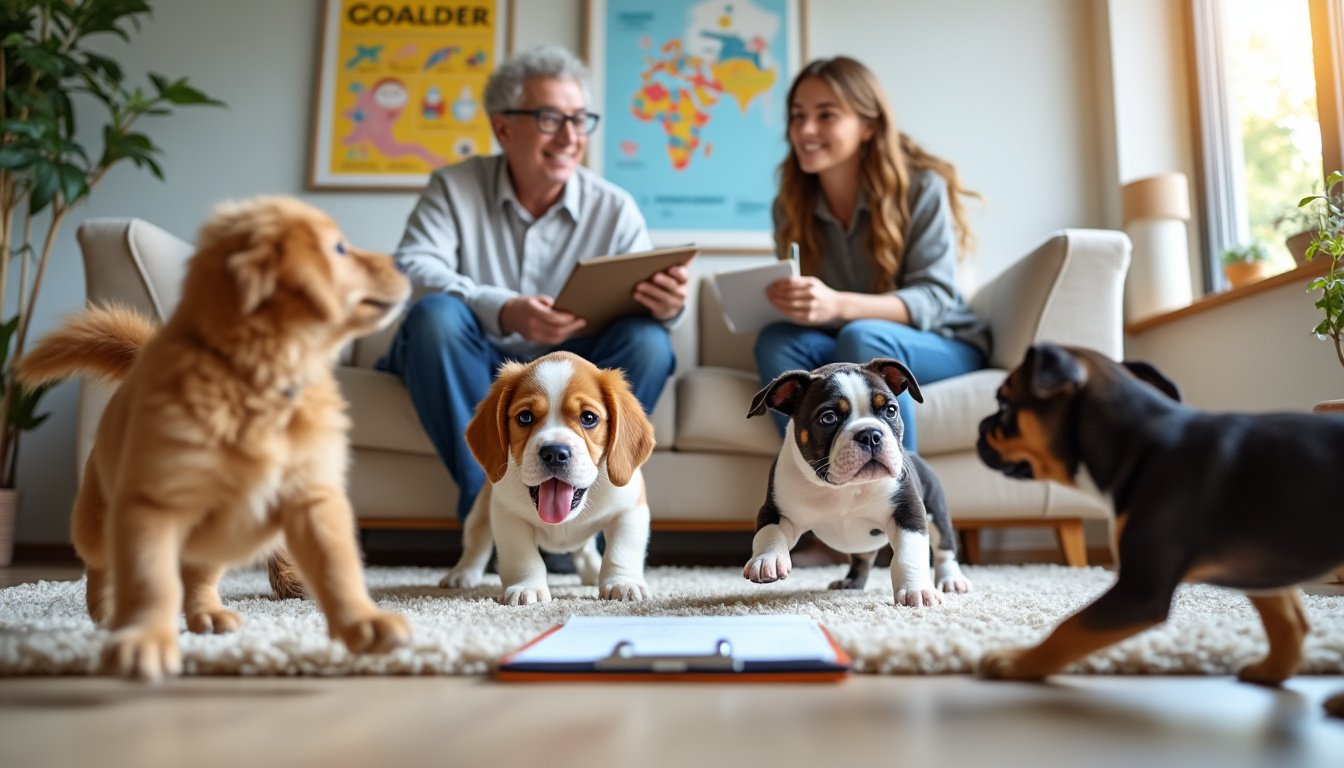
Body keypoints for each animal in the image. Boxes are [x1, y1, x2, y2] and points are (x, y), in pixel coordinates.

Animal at [15, 195, 411, 683]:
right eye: (337, 249)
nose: (401, 263)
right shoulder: (152, 506)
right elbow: (148, 578)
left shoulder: (307, 497)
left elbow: (331, 561)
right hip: (95, 517)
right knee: (101, 563)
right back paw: (107, 609)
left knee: (200, 576)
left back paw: (215, 611)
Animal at [443, 349, 658, 607]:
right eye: (525, 417)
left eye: (588, 418)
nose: (555, 452)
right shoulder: (507, 514)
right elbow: (523, 557)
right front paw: (527, 587)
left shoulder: (630, 510)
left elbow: (621, 551)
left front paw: (623, 583)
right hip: (480, 512)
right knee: (476, 542)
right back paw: (462, 574)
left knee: (585, 549)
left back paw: (593, 571)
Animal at [747, 360, 967, 607]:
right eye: (828, 418)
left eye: (891, 410)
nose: (870, 434)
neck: (844, 487)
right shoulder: (776, 509)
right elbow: (769, 532)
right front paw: (767, 559)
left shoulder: (908, 510)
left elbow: (908, 554)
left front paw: (916, 590)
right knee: (862, 559)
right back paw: (850, 583)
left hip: (937, 512)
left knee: (944, 550)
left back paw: (951, 580)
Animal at [978, 344, 1344, 720]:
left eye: (1004, 407)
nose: (980, 425)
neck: (1138, 442)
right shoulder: (1261, 571)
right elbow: (1287, 622)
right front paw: (1272, 672)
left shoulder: (1140, 592)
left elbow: (1070, 628)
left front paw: (1016, 662)